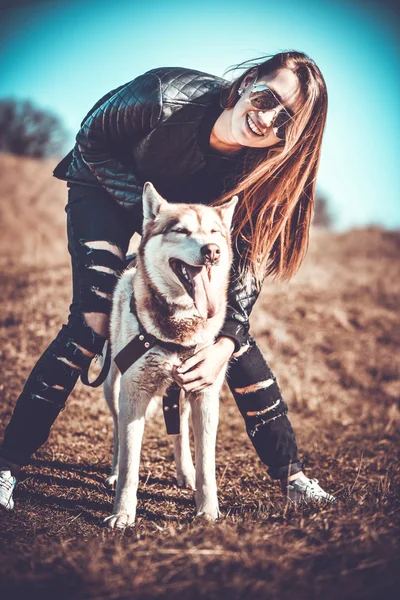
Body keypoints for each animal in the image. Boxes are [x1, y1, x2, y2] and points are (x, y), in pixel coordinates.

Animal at [103, 184, 238, 528]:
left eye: (214, 232)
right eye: (181, 231)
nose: (212, 251)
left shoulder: (204, 394)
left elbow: (207, 464)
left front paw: (208, 509)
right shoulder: (133, 392)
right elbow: (130, 465)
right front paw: (123, 513)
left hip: (182, 392)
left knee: (180, 431)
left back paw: (184, 472)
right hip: (112, 386)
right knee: (117, 433)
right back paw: (113, 471)